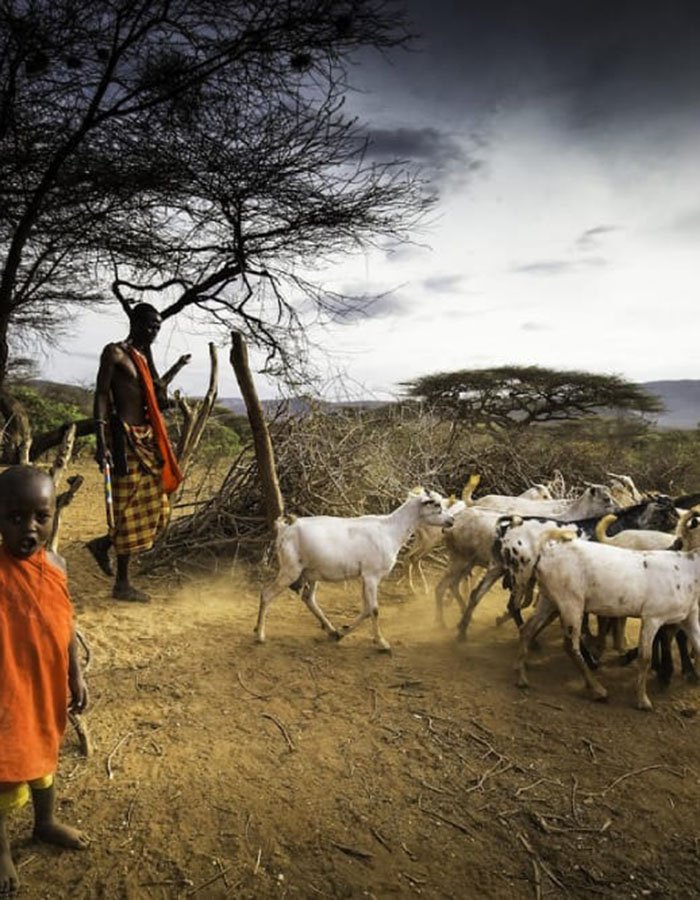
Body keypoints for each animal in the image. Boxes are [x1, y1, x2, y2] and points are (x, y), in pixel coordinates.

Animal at [256, 488, 454, 652]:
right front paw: (382, 643)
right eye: (436, 505)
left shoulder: (364, 577)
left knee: (308, 599)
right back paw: (260, 634)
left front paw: (344, 631)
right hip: (290, 569)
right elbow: (374, 609)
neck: (391, 530)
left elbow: (366, 609)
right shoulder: (372, 575)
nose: (452, 520)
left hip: (311, 573)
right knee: (266, 594)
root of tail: (284, 529)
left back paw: (332, 631)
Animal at [512, 536, 700, 712]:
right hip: (571, 601)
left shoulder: (689, 617)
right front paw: (643, 701)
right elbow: (645, 658)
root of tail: (543, 555)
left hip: (548, 599)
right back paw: (598, 690)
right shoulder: (652, 617)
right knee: (570, 646)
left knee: (526, 630)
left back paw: (522, 678)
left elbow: (698, 647)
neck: (688, 571)